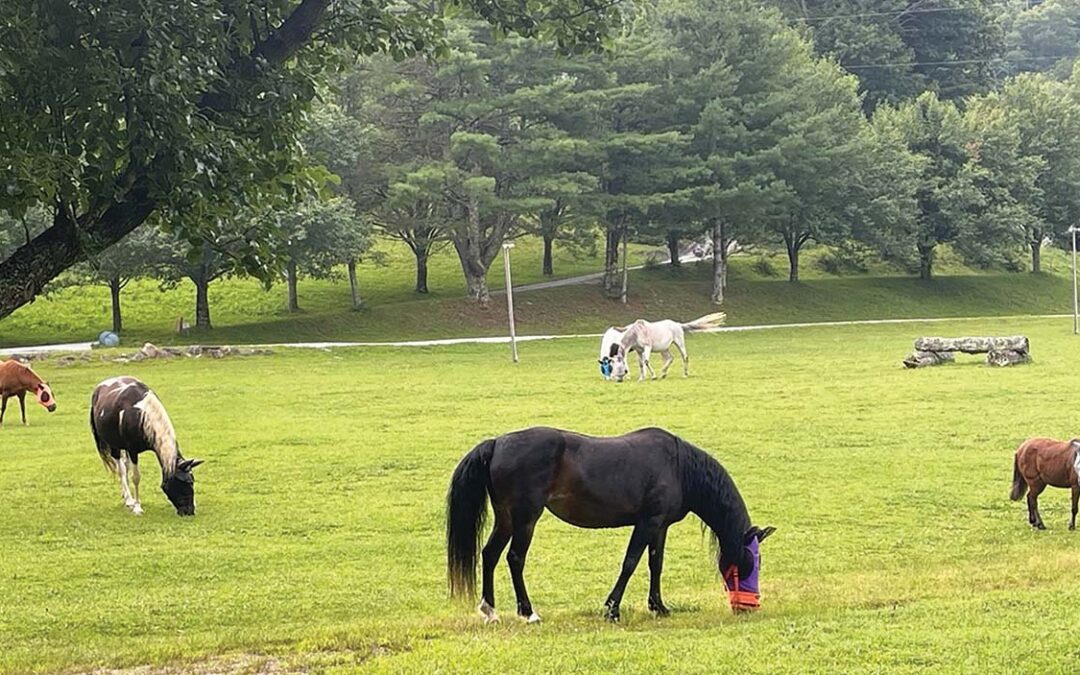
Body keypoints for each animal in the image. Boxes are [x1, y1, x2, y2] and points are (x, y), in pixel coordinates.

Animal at [90, 377, 203, 516]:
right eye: (186, 483)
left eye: (192, 481)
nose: (189, 511)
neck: (141, 415)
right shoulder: (132, 450)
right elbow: (136, 477)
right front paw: (137, 507)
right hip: (114, 445)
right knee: (121, 469)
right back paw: (129, 499)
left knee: (125, 466)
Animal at [446, 426, 775, 623]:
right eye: (752, 561)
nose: (749, 605)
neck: (680, 468)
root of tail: (497, 443)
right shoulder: (647, 522)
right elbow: (630, 562)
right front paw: (612, 609)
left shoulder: (660, 526)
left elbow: (655, 565)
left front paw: (659, 606)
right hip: (526, 517)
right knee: (515, 558)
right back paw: (528, 613)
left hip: (506, 518)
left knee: (489, 555)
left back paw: (490, 611)